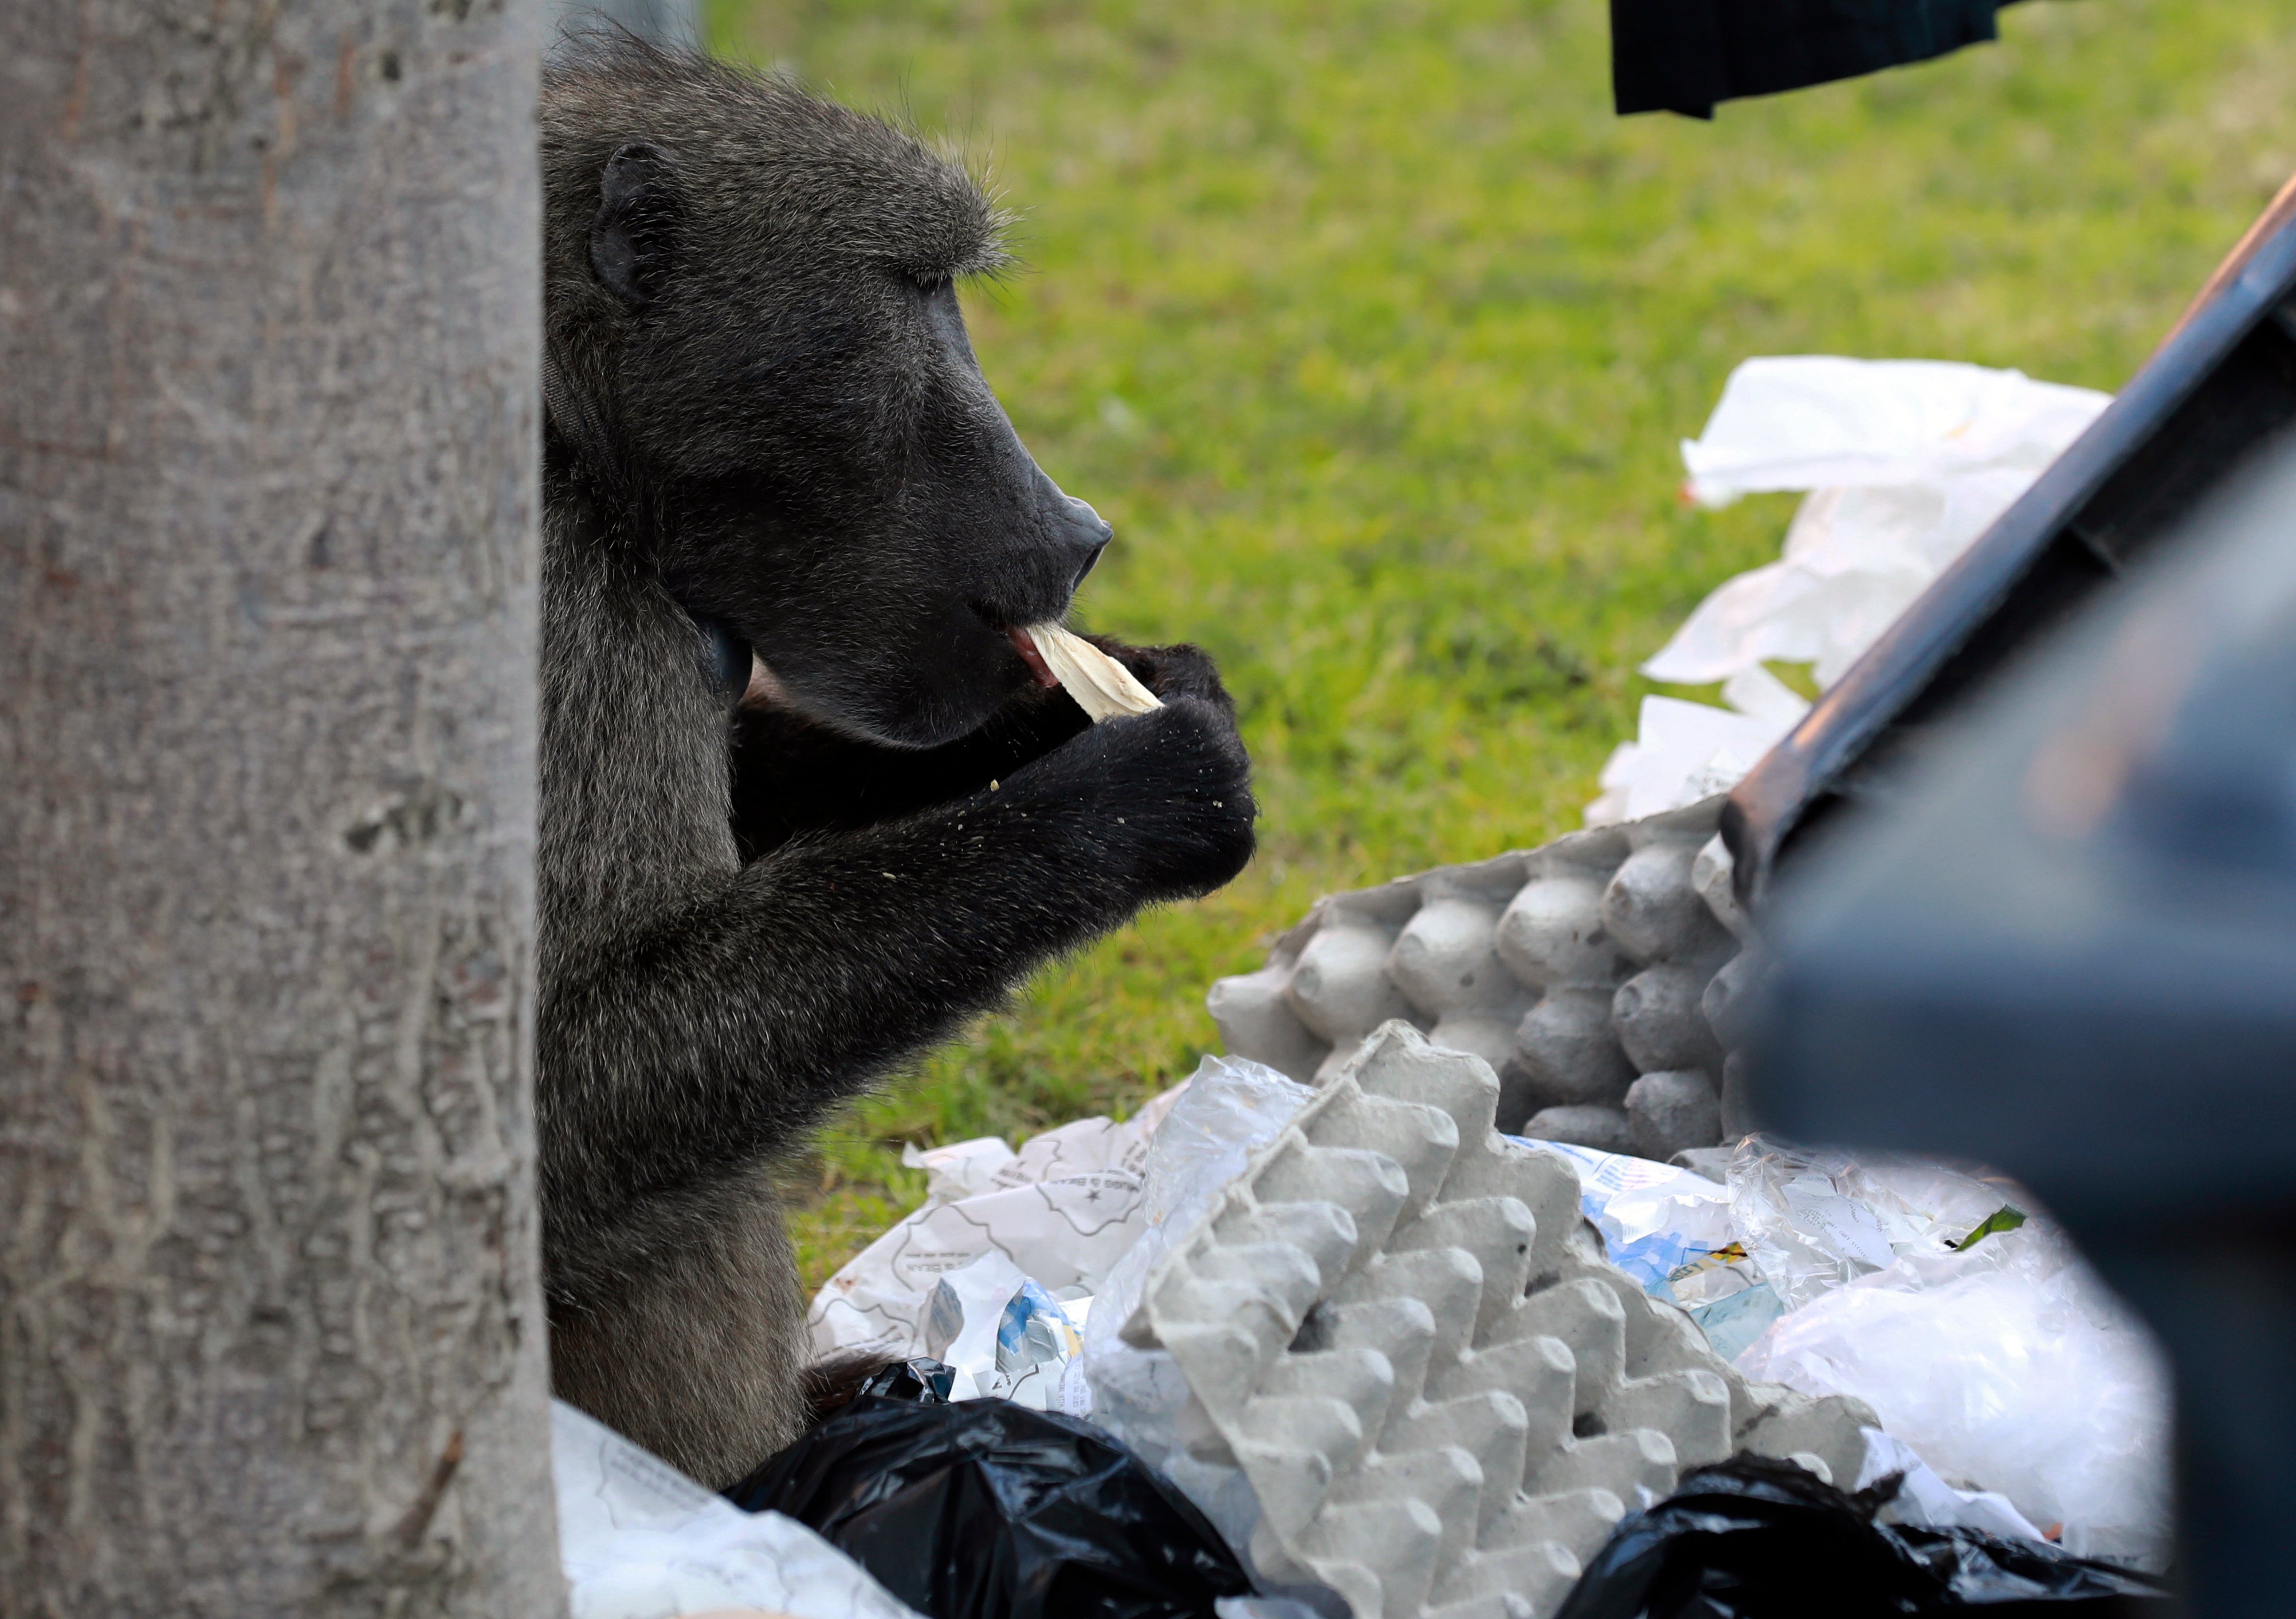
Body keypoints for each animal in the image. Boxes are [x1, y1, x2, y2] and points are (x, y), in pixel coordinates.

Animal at [533, 37, 1257, 1488]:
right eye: (905, 292)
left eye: (947, 292)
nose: (1078, 532)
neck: (570, 435)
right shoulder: (555, 611)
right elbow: (555, 1093)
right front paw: (1126, 797)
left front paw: (1099, 697)